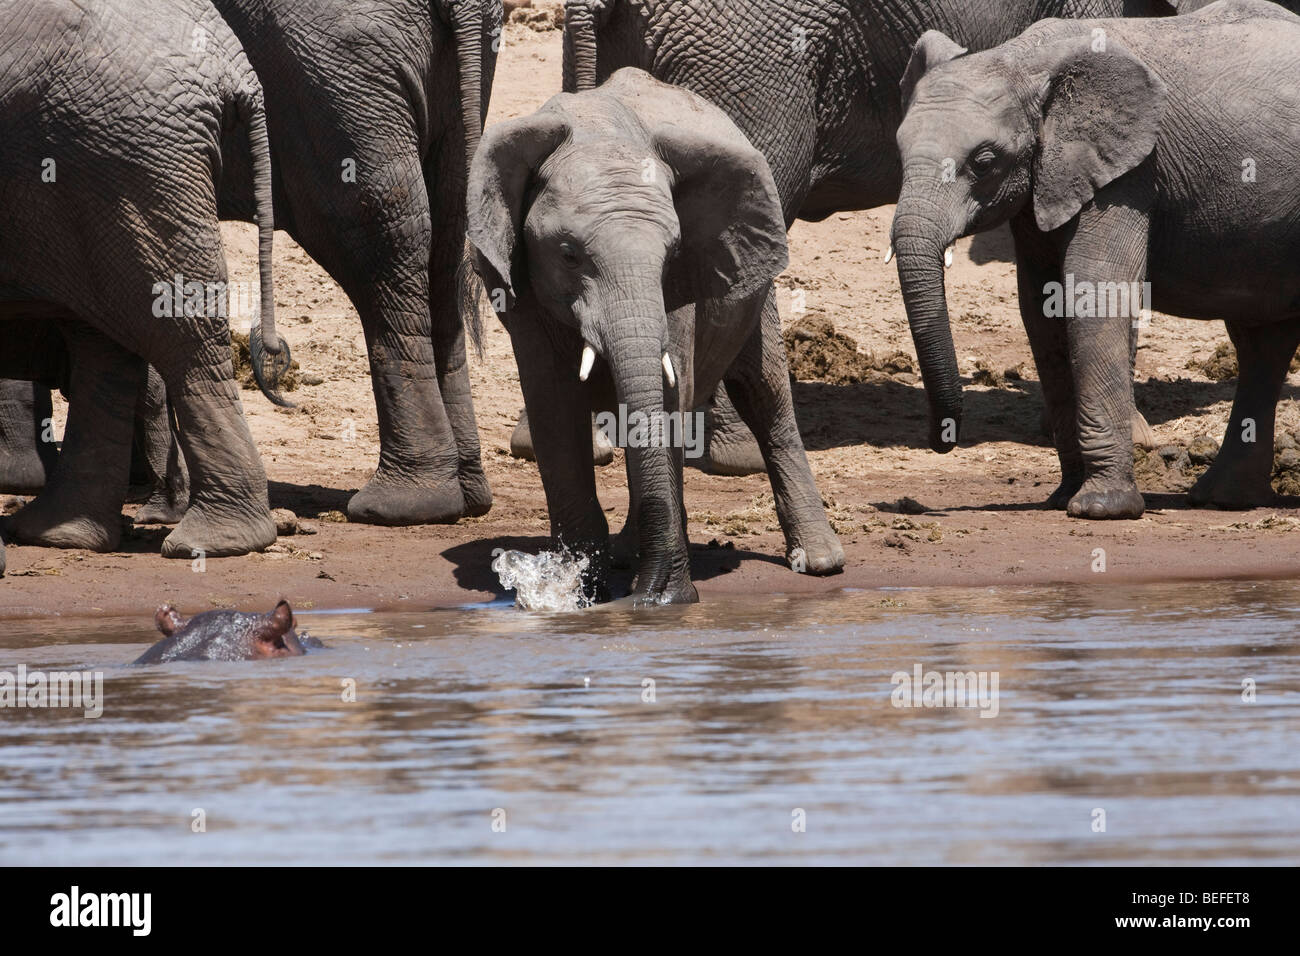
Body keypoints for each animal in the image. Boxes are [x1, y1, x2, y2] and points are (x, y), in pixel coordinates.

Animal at [889, 0, 1300, 520]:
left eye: (984, 162)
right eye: (898, 151)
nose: (942, 439)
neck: (1023, 60)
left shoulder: (1130, 170)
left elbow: (1094, 292)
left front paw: (1101, 508)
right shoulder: (1047, 180)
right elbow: (1042, 308)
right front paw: (1062, 498)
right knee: (1261, 342)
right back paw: (1224, 499)